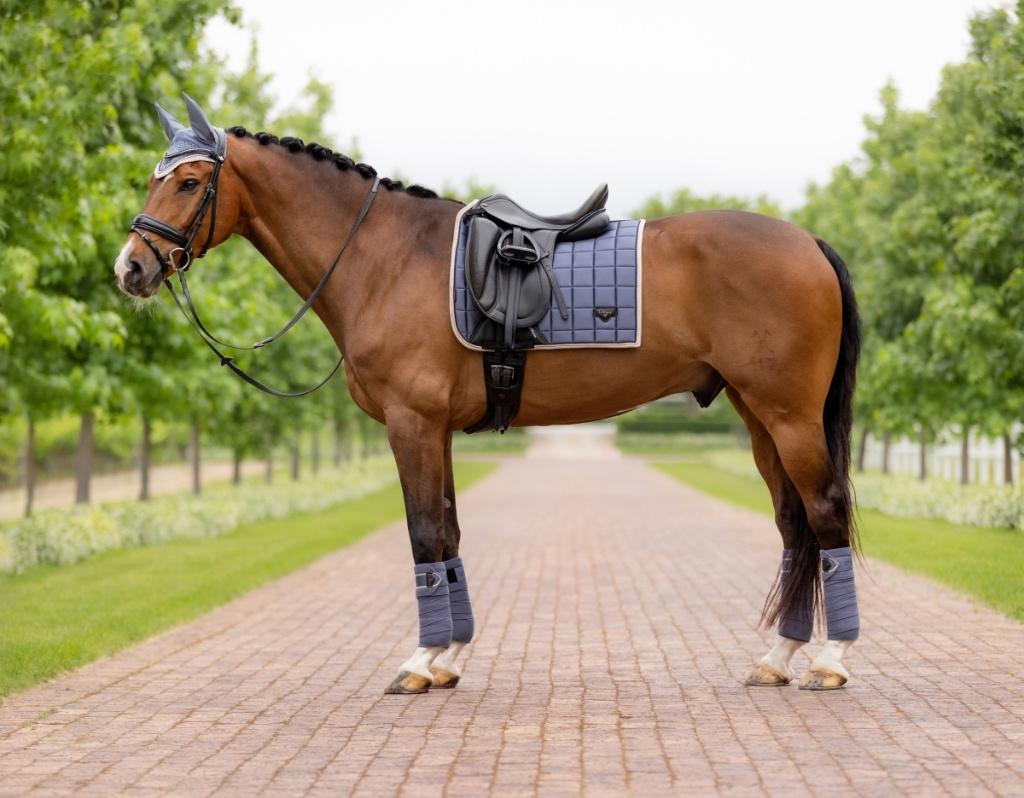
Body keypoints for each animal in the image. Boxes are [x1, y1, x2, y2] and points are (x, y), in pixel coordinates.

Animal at [115, 96, 862, 694]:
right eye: (155, 179)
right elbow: (447, 532)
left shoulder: (411, 422)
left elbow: (423, 534)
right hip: (758, 417)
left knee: (823, 514)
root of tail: (809, 242)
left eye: (188, 181)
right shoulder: (435, 428)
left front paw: (419, 663)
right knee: (793, 526)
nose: (131, 268)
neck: (383, 258)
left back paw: (830, 661)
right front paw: (447, 660)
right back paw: (778, 657)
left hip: (789, 417)